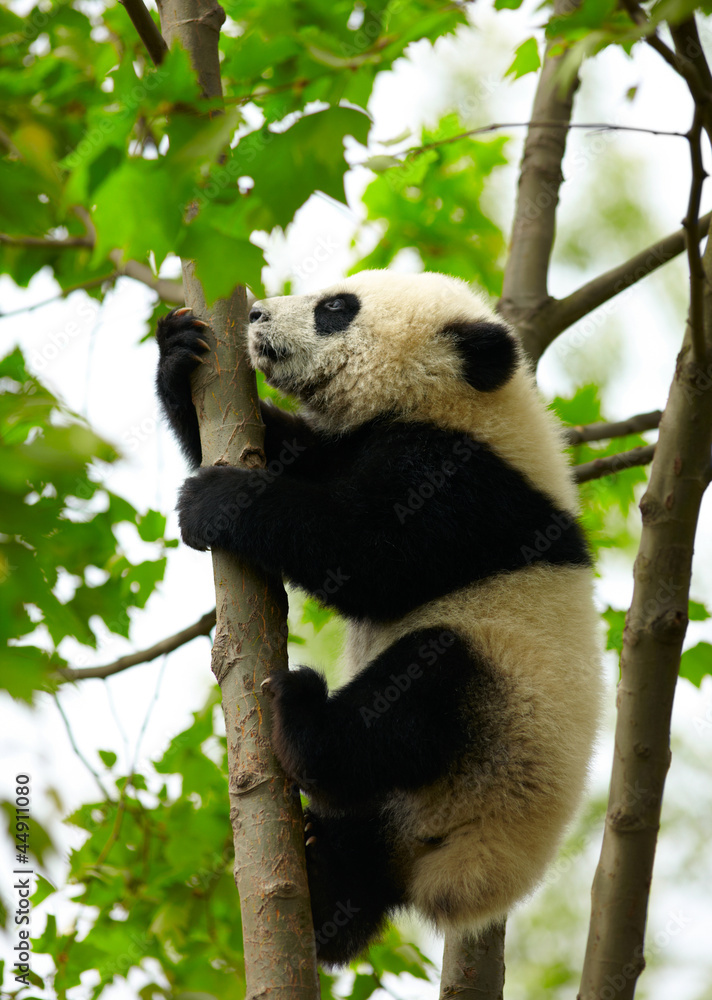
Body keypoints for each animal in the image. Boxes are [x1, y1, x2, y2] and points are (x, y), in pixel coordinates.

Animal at [155, 270, 603, 967]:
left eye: (337, 309)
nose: (255, 314)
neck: (460, 405)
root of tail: (463, 871)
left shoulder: (465, 485)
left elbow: (368, 557)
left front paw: (220, 500)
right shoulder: (359, 445)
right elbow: (293, 452)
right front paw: (177, 351)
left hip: (501, 720)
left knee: (413, 693)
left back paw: (304, 717)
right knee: (354, 874)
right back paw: (316, 892)